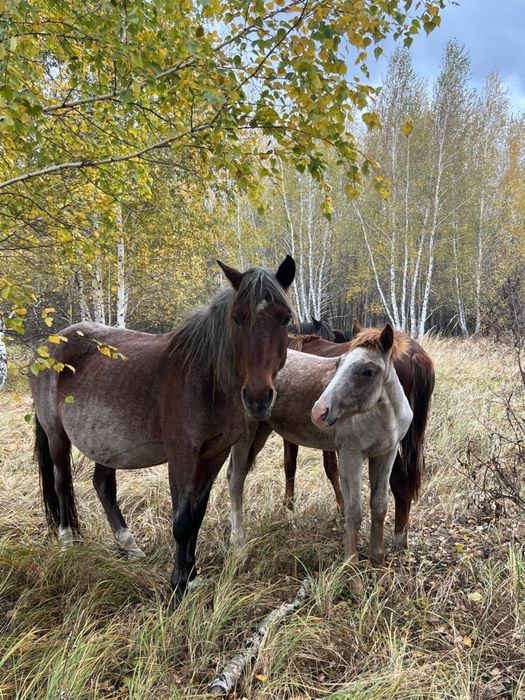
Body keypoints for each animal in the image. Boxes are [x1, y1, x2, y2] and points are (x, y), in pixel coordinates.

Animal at [31, 256, 295, 598]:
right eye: (237, 319)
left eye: (285, 318)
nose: (258, 397)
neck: (206, 380)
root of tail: (49, 344)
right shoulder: (182, 456)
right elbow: (181, 521)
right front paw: (178, 586)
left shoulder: (214, 455)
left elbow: (196, 516)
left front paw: (192, 575)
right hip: (56, 435)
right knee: (63, 483)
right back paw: (67, 544)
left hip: (106, 443)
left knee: (103, 485)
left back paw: (129, 546)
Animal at [228, 324, 414, 567]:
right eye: (338, 363)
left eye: (368, 372)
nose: (319, 412)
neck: (385, 415)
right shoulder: (350, 455)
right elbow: (354, 511)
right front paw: (351, 567)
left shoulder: (386, 454)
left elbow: (380, 505)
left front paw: (378, 560)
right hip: (246, 432)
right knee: (236, 477)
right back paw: (238, 545)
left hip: (262, 429)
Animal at [283, 321, 435, 549]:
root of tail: (416, 354)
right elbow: (331, 469)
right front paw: (340, 507)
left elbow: (291, 465)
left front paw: (288, 507)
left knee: (400, 482)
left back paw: (398, 537)